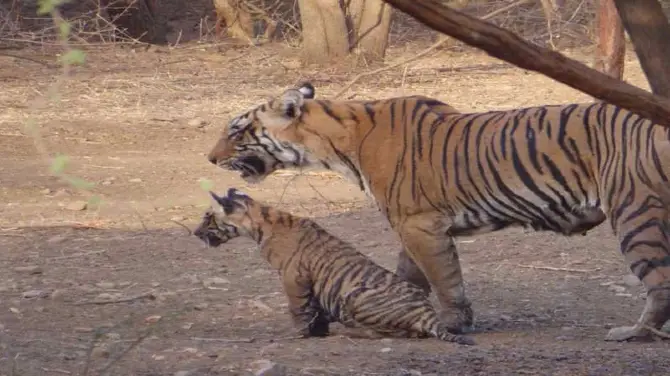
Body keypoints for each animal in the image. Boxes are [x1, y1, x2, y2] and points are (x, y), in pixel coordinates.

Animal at [205, 83, 670, 340]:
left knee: (659, 284)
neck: (334, 143)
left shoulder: (418, 223)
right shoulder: (410, 225)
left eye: (237, 130)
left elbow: (444, 279)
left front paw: (451, 322)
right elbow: (409, 275)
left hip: (635, 214)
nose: (209, 159)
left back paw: (633, 334)